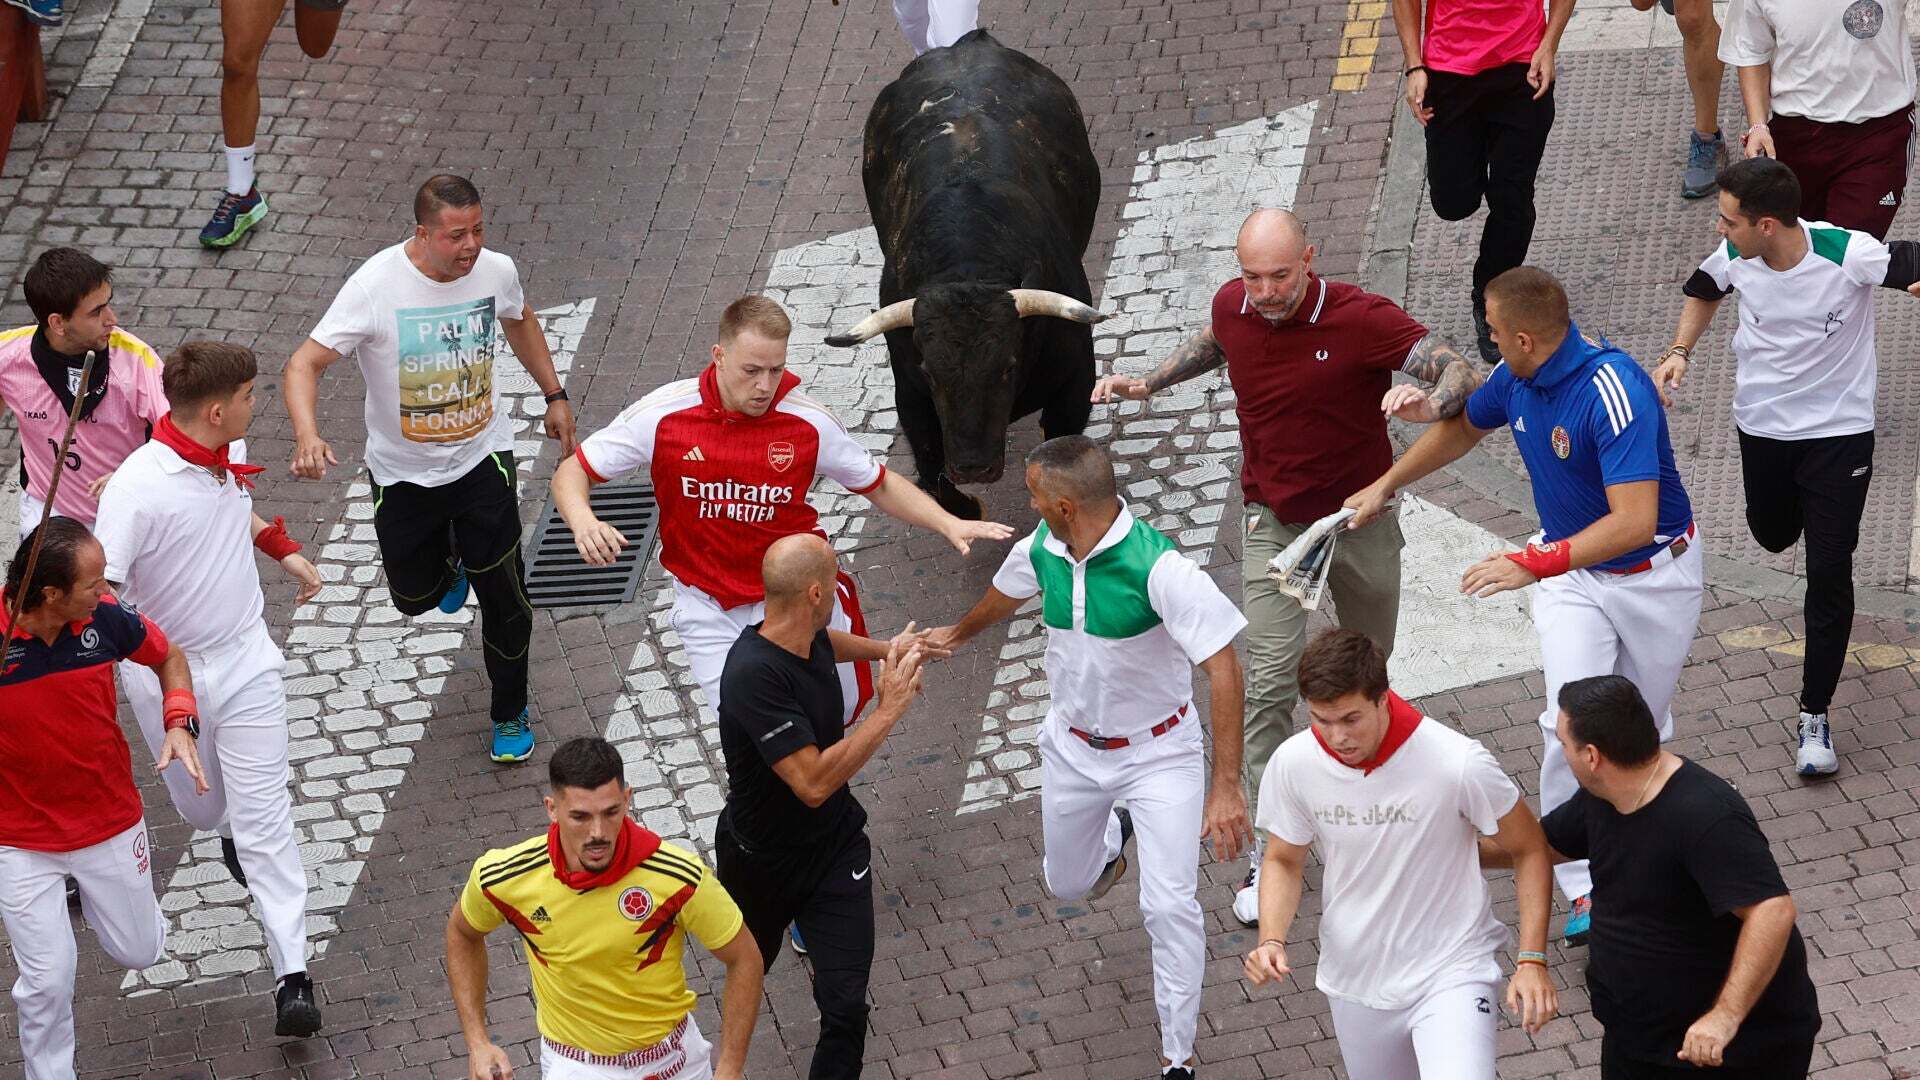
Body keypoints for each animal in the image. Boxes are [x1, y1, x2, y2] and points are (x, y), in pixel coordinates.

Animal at [821, 31, 1105, 518]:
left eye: (1008, 366)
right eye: (931, 371)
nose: (974, 467)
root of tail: (963, 45)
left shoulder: (1074, 383)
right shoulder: (911, 397)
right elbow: (933, 473)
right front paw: (967, 508)